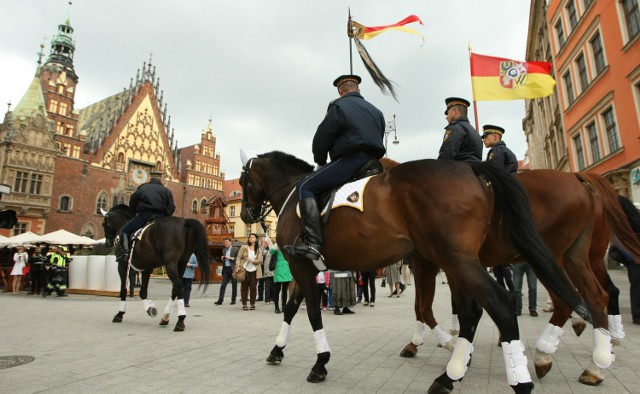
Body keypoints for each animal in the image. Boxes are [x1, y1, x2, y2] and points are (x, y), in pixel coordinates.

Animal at [240, 151, 596, 394]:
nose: (245, 215)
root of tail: (471, 168)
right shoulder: (306, 268)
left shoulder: (300, 264)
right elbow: (290, 308)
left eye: (244, 182)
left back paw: (520, 374)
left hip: (462, 260)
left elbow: (313, 312)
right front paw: (277, 350)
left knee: (504, 304)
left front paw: (320, 362)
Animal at [400, 169, 640, 384]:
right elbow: (425, 306)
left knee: (570, 298)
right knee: (597, 295)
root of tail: (575, 177)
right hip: (576, 255)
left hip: (553, 256)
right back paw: (596, 361)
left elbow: (425, 307)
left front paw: (444, 344)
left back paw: (551, 354)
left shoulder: (431, 264)